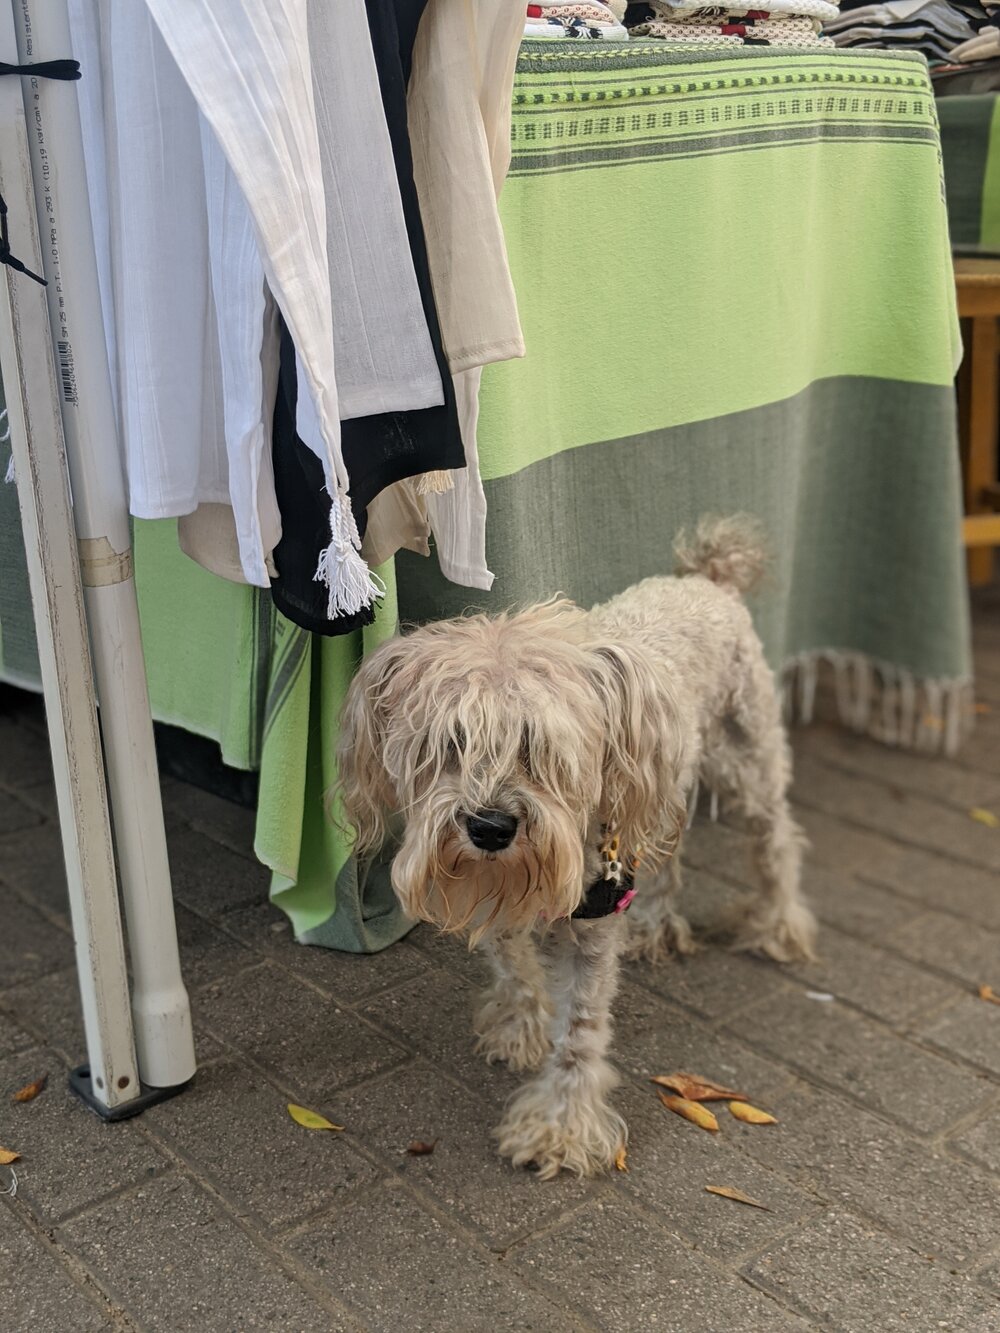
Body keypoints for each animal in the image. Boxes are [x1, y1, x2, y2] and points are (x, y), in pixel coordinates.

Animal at [337, 517, 816, 1178]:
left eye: (540, 747)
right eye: (449, 743)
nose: (490, 828)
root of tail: (708, 577)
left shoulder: (593, 919)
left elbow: (582, 1030)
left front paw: (560, 1127)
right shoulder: (499, 888)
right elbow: (511, 964)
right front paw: (522, 1026)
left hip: (745, 763)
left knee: (778, 843)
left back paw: (779, 926)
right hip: (668, 783)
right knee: (669, 854)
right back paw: (657, 926)